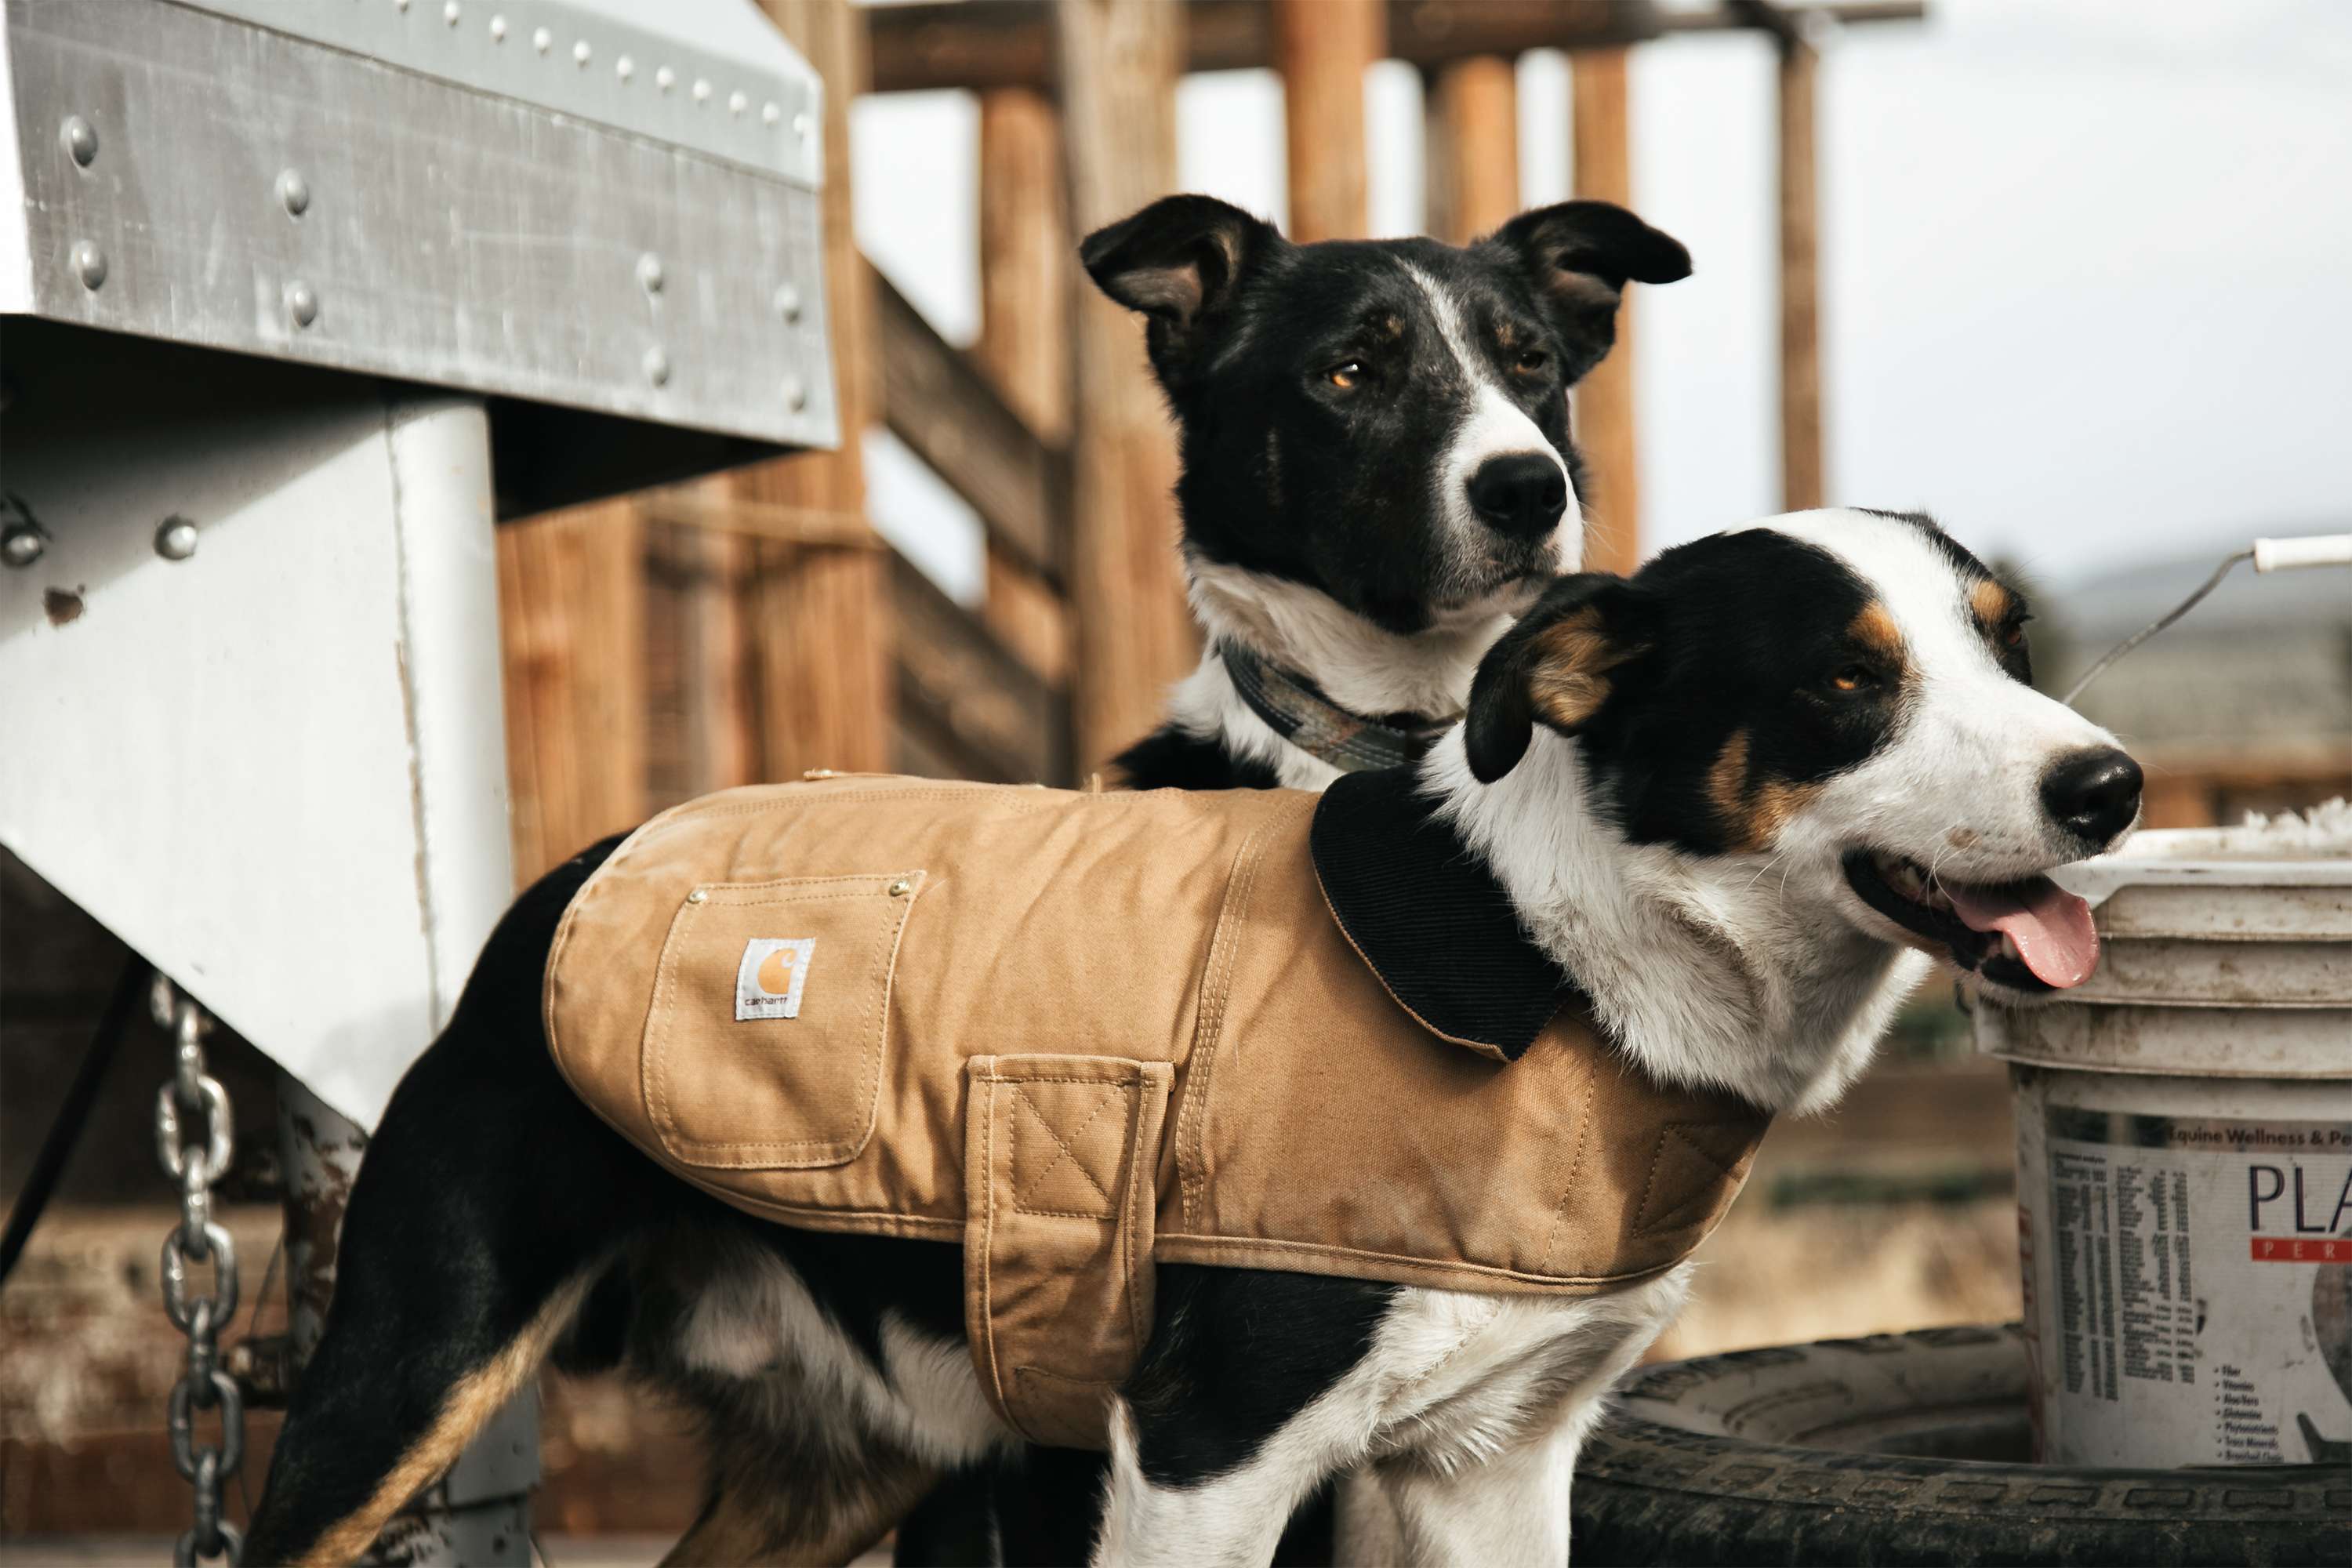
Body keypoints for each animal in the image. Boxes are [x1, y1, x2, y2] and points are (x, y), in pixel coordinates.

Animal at [248, 510, 2145, 1561]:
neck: (1561, 955)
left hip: (841, 1462)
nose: (2109, 784)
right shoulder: (1202, 1453)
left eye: (2008, 649)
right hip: (404, 1372)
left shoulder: (1490, 1464)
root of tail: (577, 874)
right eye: (1847, 681)